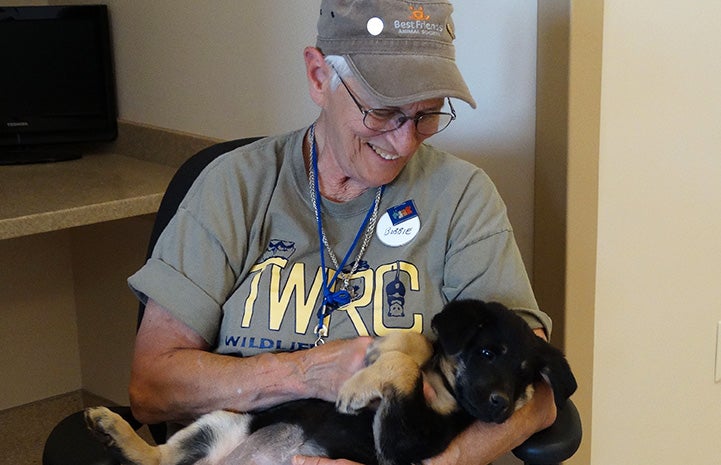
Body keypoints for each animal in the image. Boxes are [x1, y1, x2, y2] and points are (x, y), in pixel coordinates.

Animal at [86, 300, 580, 464]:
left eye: (526, 377)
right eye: (486, 354)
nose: (501, 407)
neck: (441, 390)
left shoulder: (401, 445)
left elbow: (404, 370)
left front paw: (359, 386)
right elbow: (415, 346)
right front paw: (381, 351)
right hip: (223, 420)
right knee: (157, 458)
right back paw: (112, 427)